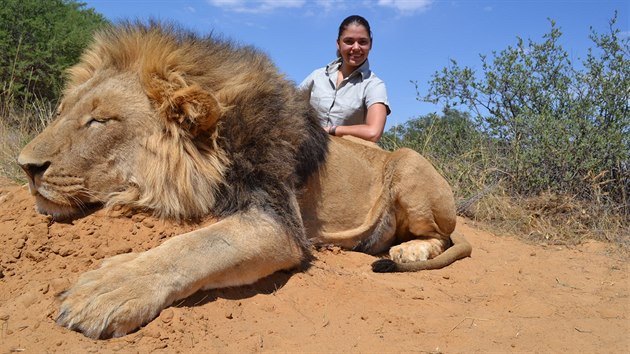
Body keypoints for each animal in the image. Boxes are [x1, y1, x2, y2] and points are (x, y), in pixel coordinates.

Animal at [17, 21, 472, 338]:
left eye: (99, 121)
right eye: (64, 112)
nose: (25, 165)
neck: (218, 142)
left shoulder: (279, 224)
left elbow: (195, 246)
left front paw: (106, 289)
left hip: (410, 161)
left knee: (441, 236)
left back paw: (410, 250)